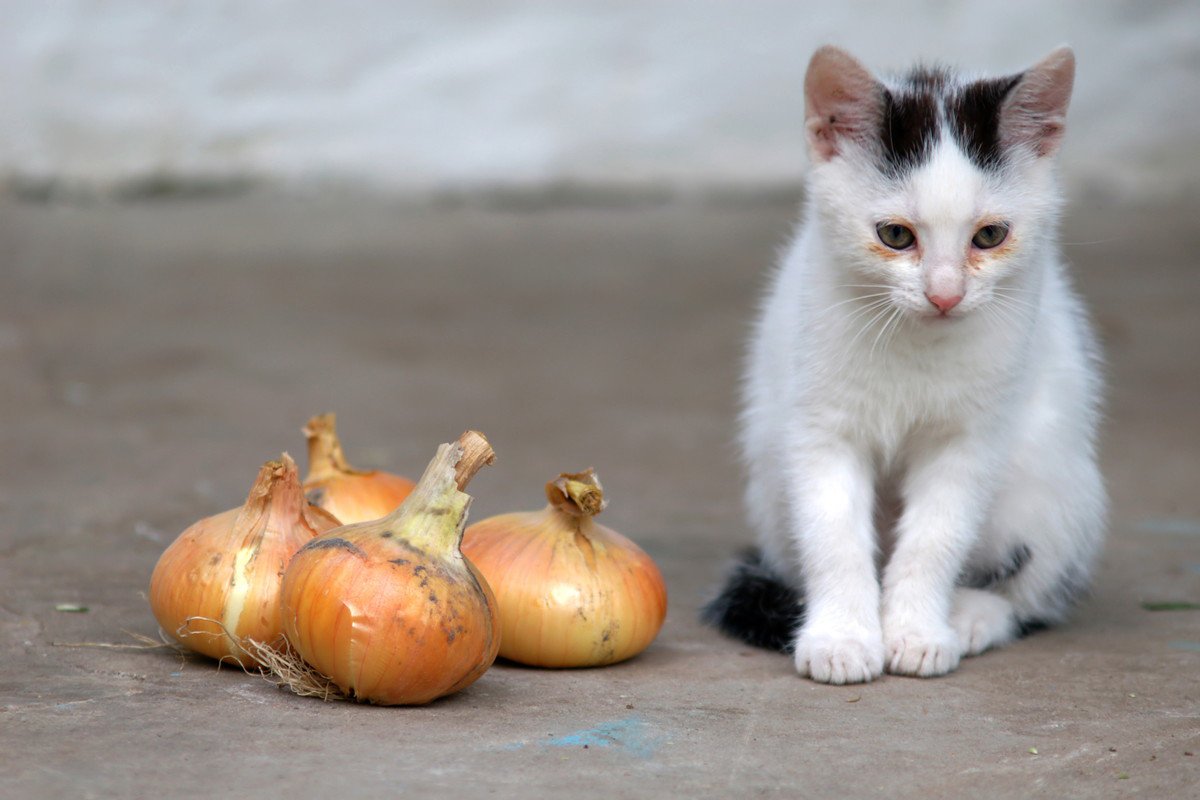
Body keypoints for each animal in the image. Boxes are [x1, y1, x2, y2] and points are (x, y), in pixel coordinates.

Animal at [700, 45, 1104, 681]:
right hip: (768, 475)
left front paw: (917, 632)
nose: (945, 294)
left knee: (1034, 586)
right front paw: (841, 638)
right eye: (895, 235)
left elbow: (937, 536)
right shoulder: (820, 426)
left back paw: (973, 615)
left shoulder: (970, 439)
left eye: (990, 235)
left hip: (1050, 482)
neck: (915, 343)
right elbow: (832, 533)